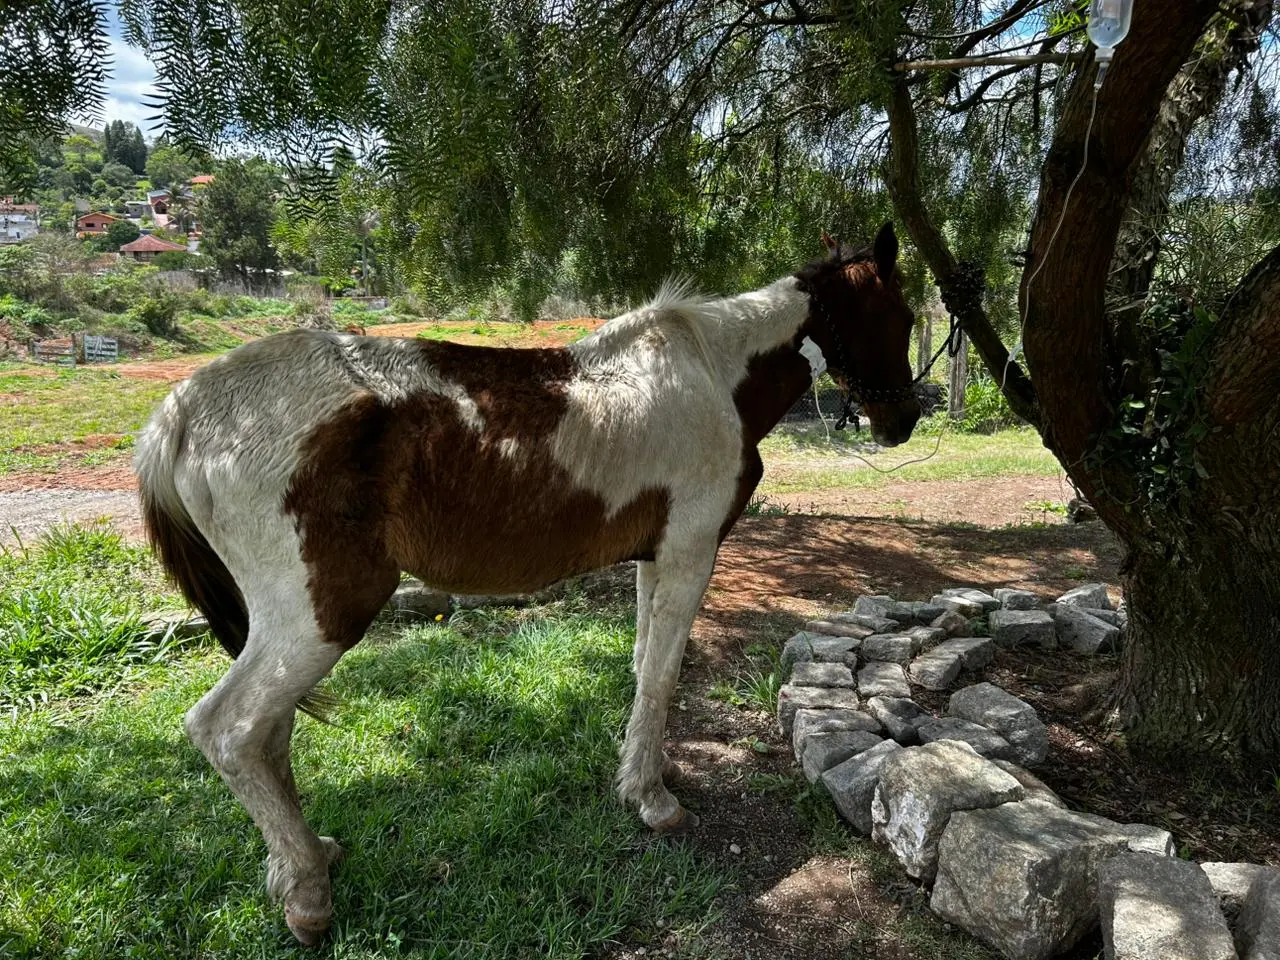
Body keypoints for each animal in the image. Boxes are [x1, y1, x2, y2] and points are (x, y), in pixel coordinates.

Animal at [135, 222, 920, 945]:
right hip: (321, 612)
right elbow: (662, 674)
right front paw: (652, 799)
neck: (712, 374)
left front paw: (637, 774)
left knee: (269, 734)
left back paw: (308, 856)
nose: (904, 420)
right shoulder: (690, 551)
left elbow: (643, 665)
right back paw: (305, 895)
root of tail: (184, 411)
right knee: (232, 731)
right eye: (904, 317)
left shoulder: (653, 557)